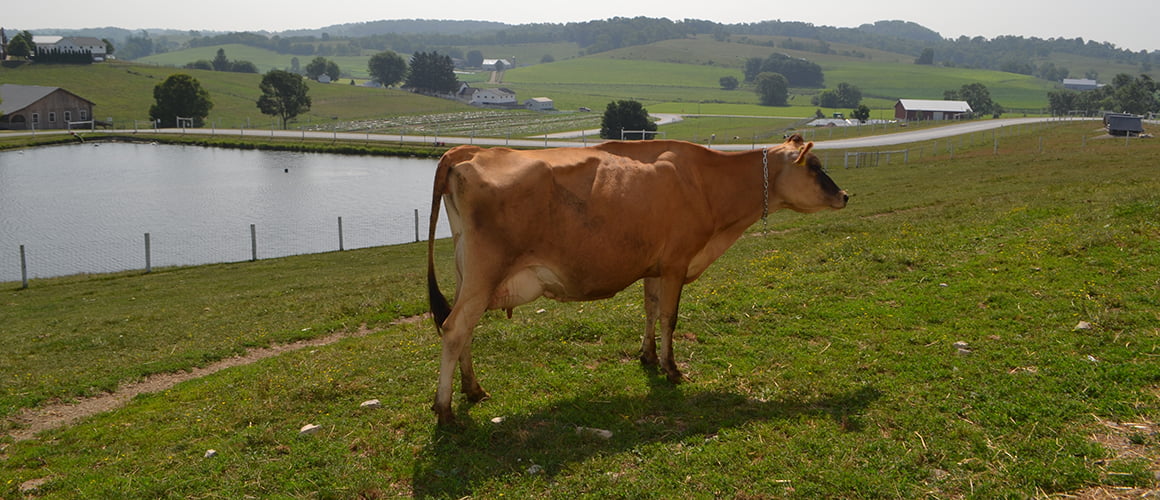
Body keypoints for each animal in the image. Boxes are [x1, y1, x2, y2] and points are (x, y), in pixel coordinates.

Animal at [425, 135, 847, 426]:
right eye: (814, 166)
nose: (844, 195)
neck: (708, 184)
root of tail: (466, 151)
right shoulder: (677, 261)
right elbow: (670, 318)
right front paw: (672, 369)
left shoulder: (654, 266)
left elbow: (650, 310)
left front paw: (647, 356)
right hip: (485, 271)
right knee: (455, 328)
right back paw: (445, 409)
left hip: (469, 273)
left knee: (463, 327)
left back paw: (474, 390)